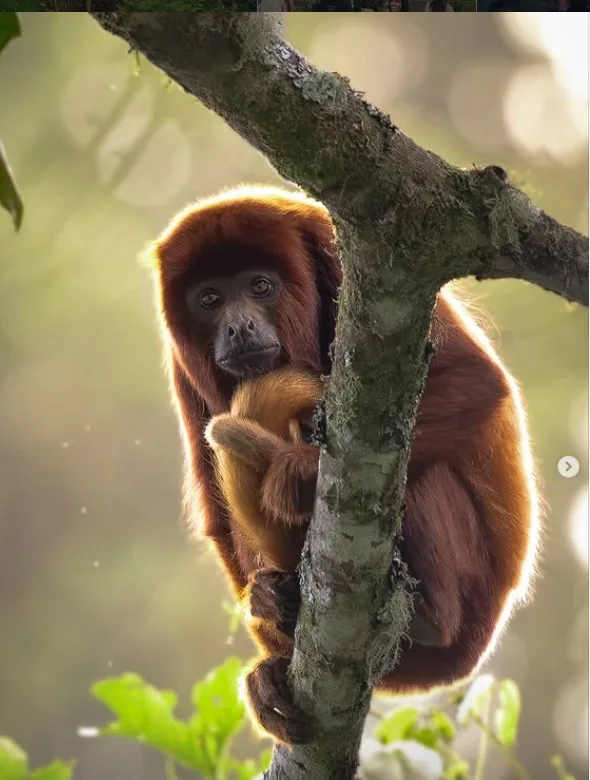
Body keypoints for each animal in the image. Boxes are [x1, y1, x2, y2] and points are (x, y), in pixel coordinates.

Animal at [149, 185, 541, 746]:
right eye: (210, 299)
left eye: (260, 286)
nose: (239, 327)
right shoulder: (183, 366)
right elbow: (216, 511)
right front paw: (264, 602)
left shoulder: (344, 262)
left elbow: (474, 379)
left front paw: (299, 470)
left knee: (417, 473)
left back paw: (427, 616)